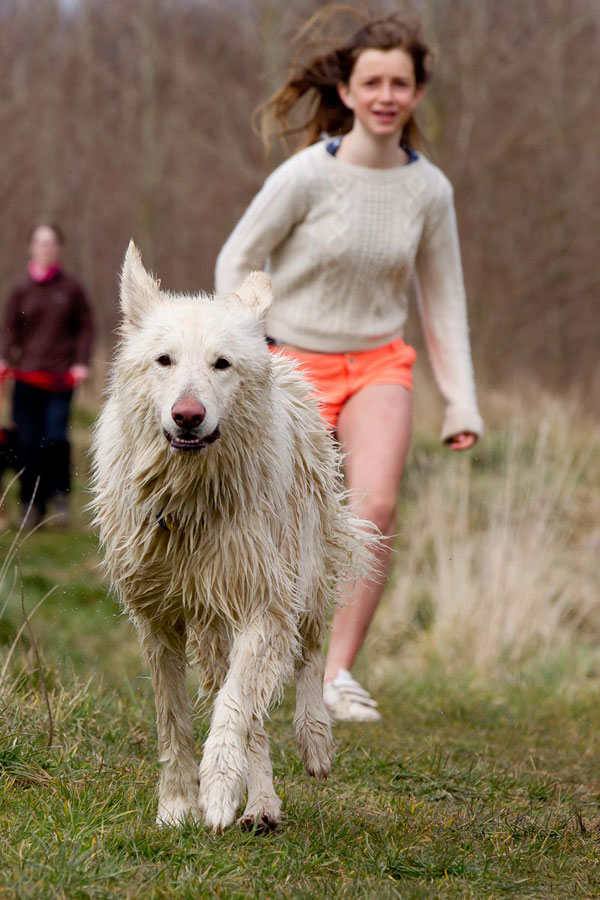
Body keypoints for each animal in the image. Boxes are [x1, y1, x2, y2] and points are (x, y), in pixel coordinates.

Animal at [91, 243, 368, 832]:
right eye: (165, 360)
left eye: (221, 363)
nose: (187, 416)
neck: (187, 499)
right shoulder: (160, 620)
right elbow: (174, 717)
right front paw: (177, 805)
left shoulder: (262, 604)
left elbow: (234, 708)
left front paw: (217, 790)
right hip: (215, 625)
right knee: (254, 713)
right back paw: (261, 806)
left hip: (305, 575)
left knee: (311, 651)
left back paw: (312, 742)